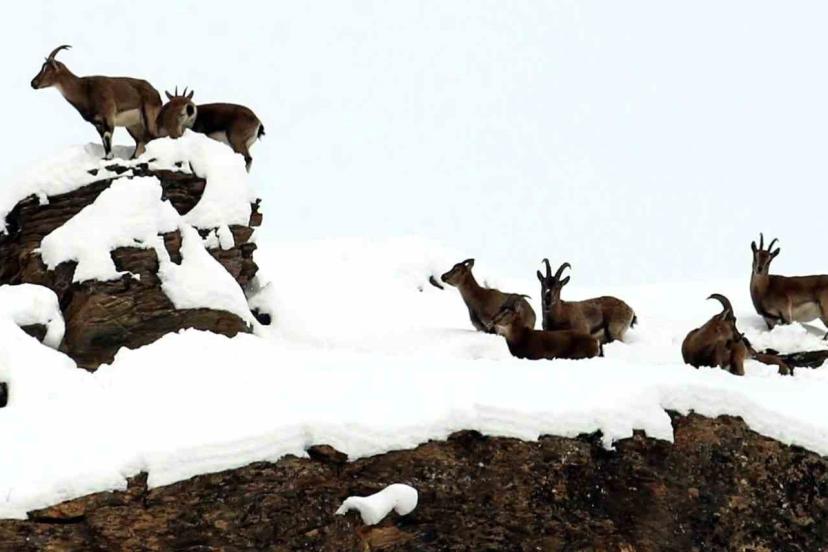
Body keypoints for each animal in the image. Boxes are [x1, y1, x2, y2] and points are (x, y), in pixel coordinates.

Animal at [31, 45, 162, 159]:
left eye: (48, 70)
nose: (33, 83)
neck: (84, 90)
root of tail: (156, 93)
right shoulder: (97, 124)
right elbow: (104, 143)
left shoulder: (109, 118)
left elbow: (107, 140)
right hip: (133, 125)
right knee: (141, 143)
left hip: (149, 117)